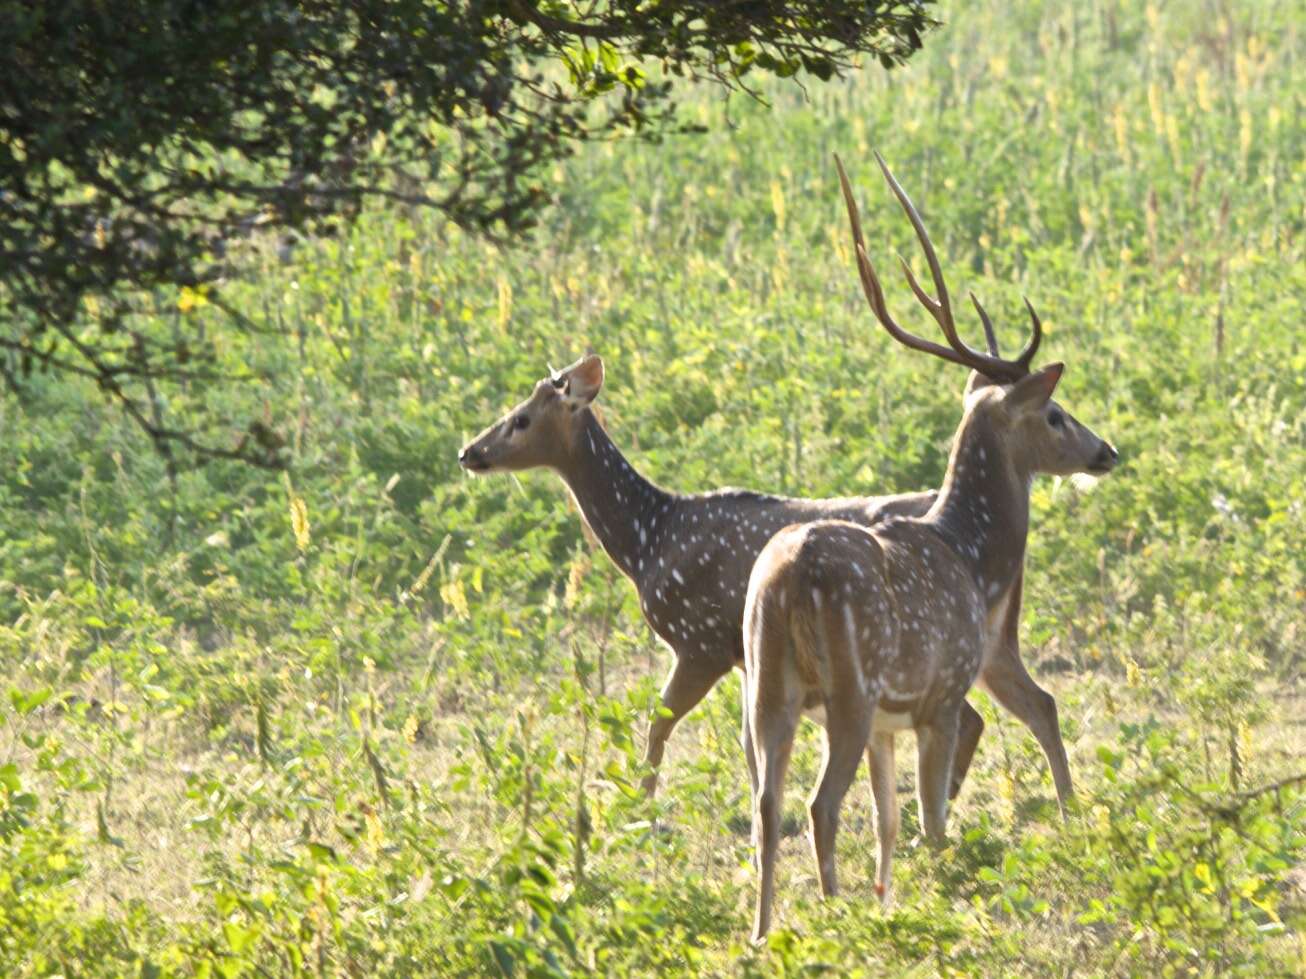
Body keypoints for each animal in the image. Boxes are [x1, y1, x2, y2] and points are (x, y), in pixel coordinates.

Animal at [741, 157, 1117, 945]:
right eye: (1056, 413)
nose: (1108, 450)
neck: (971, 556)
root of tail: (785, 581)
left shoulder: (897, 719)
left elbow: (893, 821)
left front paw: (895, 900)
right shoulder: (938, 695)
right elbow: (932, 822)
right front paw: (934, 901)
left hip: (764, 685)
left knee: (767, 805)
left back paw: (764, 934)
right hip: (851, 687)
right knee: (820, 805)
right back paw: (834, 918)